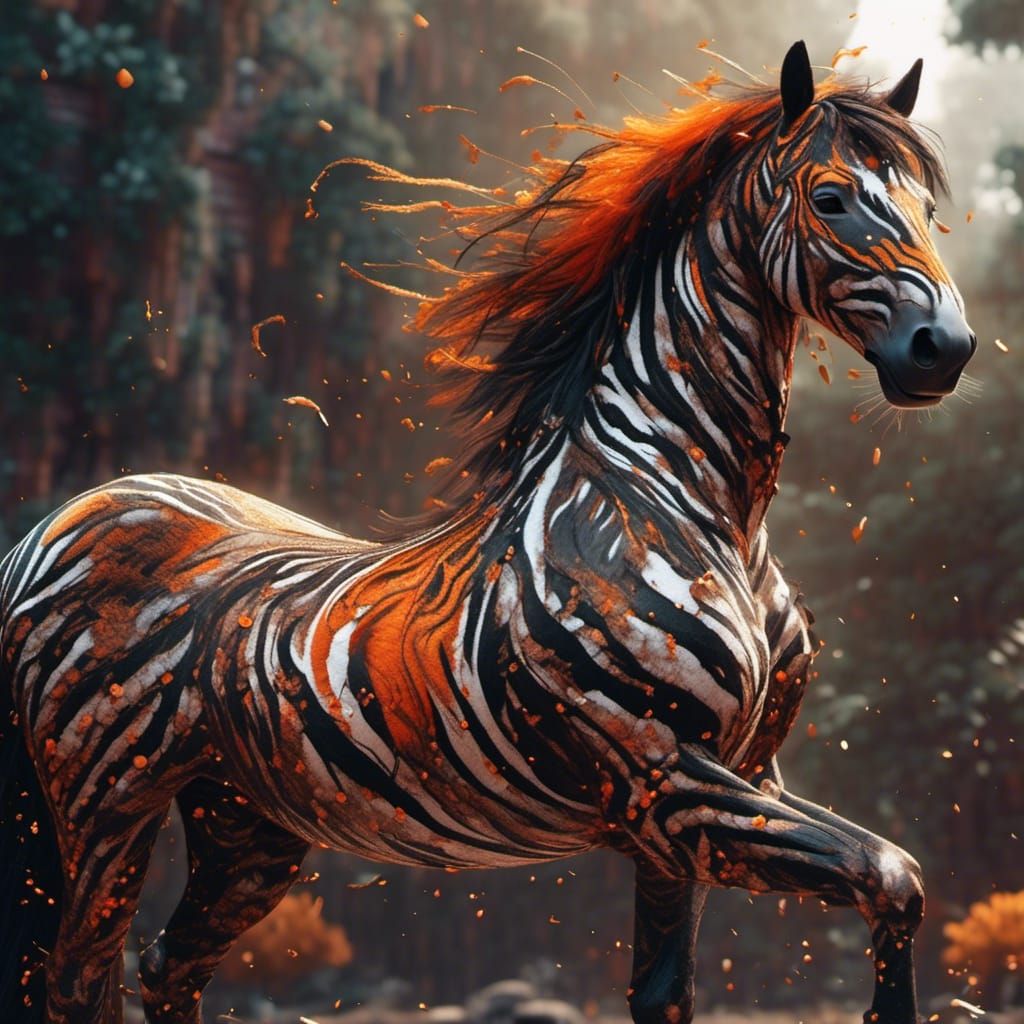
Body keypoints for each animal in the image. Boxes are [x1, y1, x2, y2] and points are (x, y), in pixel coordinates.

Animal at [0, 40, 976, 1024]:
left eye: (928, 209)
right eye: (831, 198)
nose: (946, 350)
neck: (683, 502)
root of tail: (52, 528)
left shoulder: (723, 799)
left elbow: (676, 989)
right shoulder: (668, 781)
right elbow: (893, 876)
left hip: (243, 821)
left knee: (168, 966)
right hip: (104, 807)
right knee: (77, 980)